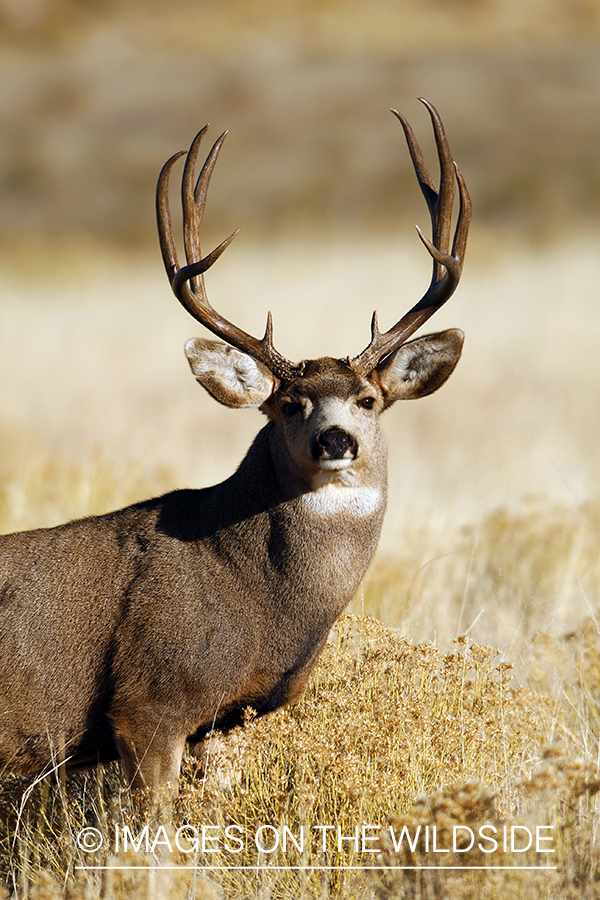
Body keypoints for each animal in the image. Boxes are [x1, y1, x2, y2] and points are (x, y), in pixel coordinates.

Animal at [0, 99, 470, 793]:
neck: (259, 599)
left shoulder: (224, 720)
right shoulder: (150, 702)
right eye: (288, 403)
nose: (336, 439)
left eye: (368, 399)